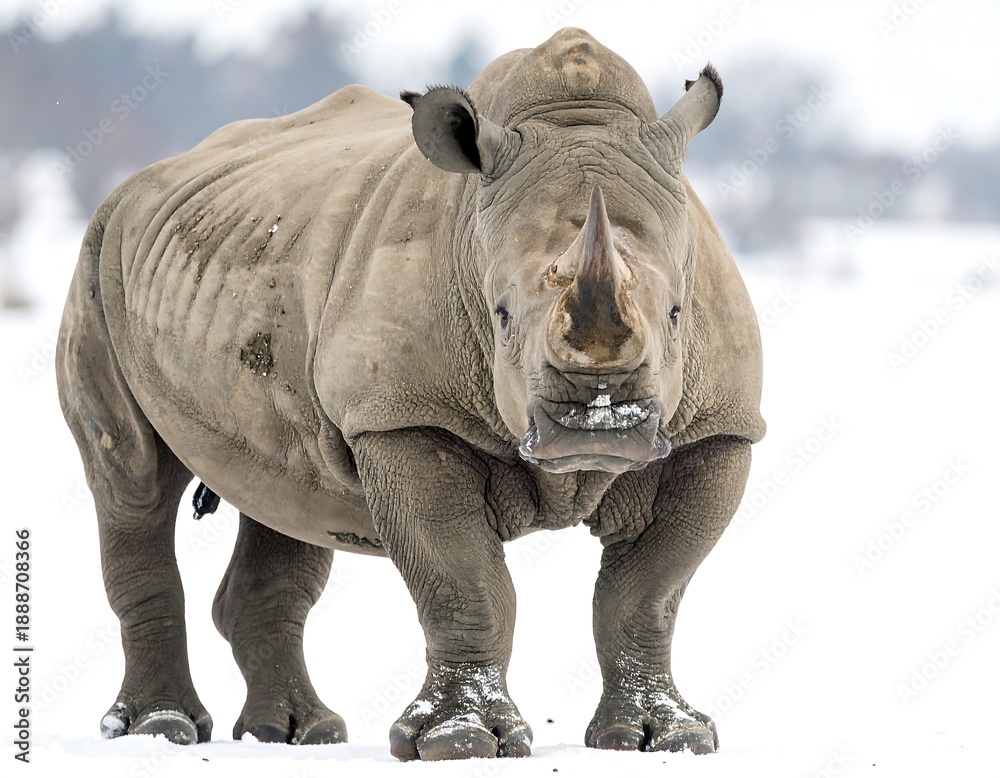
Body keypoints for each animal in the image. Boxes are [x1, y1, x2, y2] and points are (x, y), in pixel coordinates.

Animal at [56, 27, 764, 760]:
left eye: (678, 313)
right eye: (501, 315)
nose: (597, 426)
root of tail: (145, 180)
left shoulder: (717, 430)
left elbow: (647, 595)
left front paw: (665, 737)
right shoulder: (406, 418)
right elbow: (465, 584)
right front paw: (462, 741)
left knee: (285, 492)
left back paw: (296, 734)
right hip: (98, 254)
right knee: (133, 477)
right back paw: (159, 730)